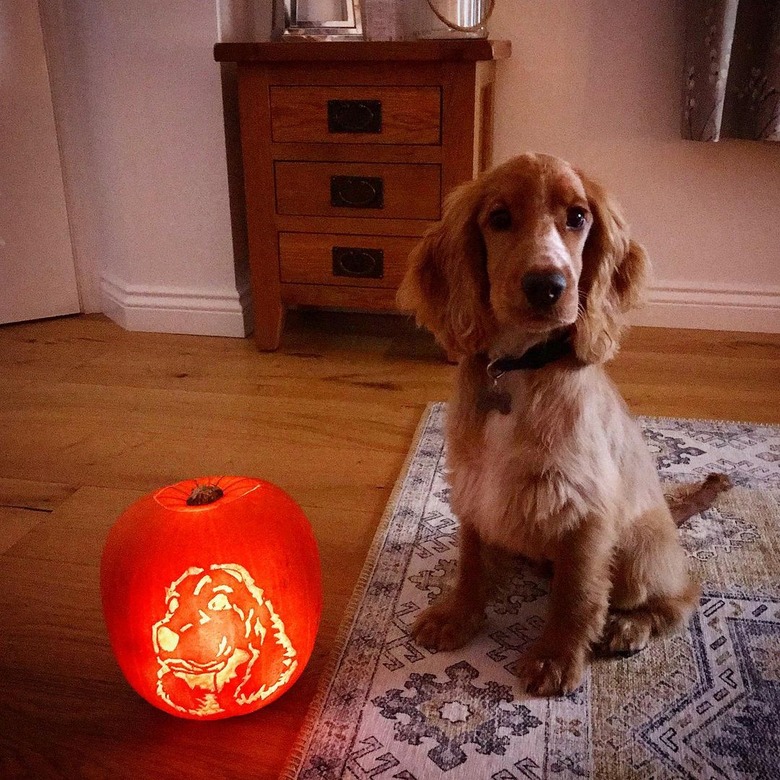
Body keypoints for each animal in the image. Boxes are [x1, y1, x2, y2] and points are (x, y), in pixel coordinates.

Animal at [400, 151, 716, 696]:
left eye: (578, 217)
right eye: (499, 218)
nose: (547, 286)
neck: (517, 369)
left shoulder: (585, 509)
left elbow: (577, 593)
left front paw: (555, 658)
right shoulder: (473, 487)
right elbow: (471, 561)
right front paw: (458, 615)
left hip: (639, 553)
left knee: (681, 594)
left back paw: (630, 625)